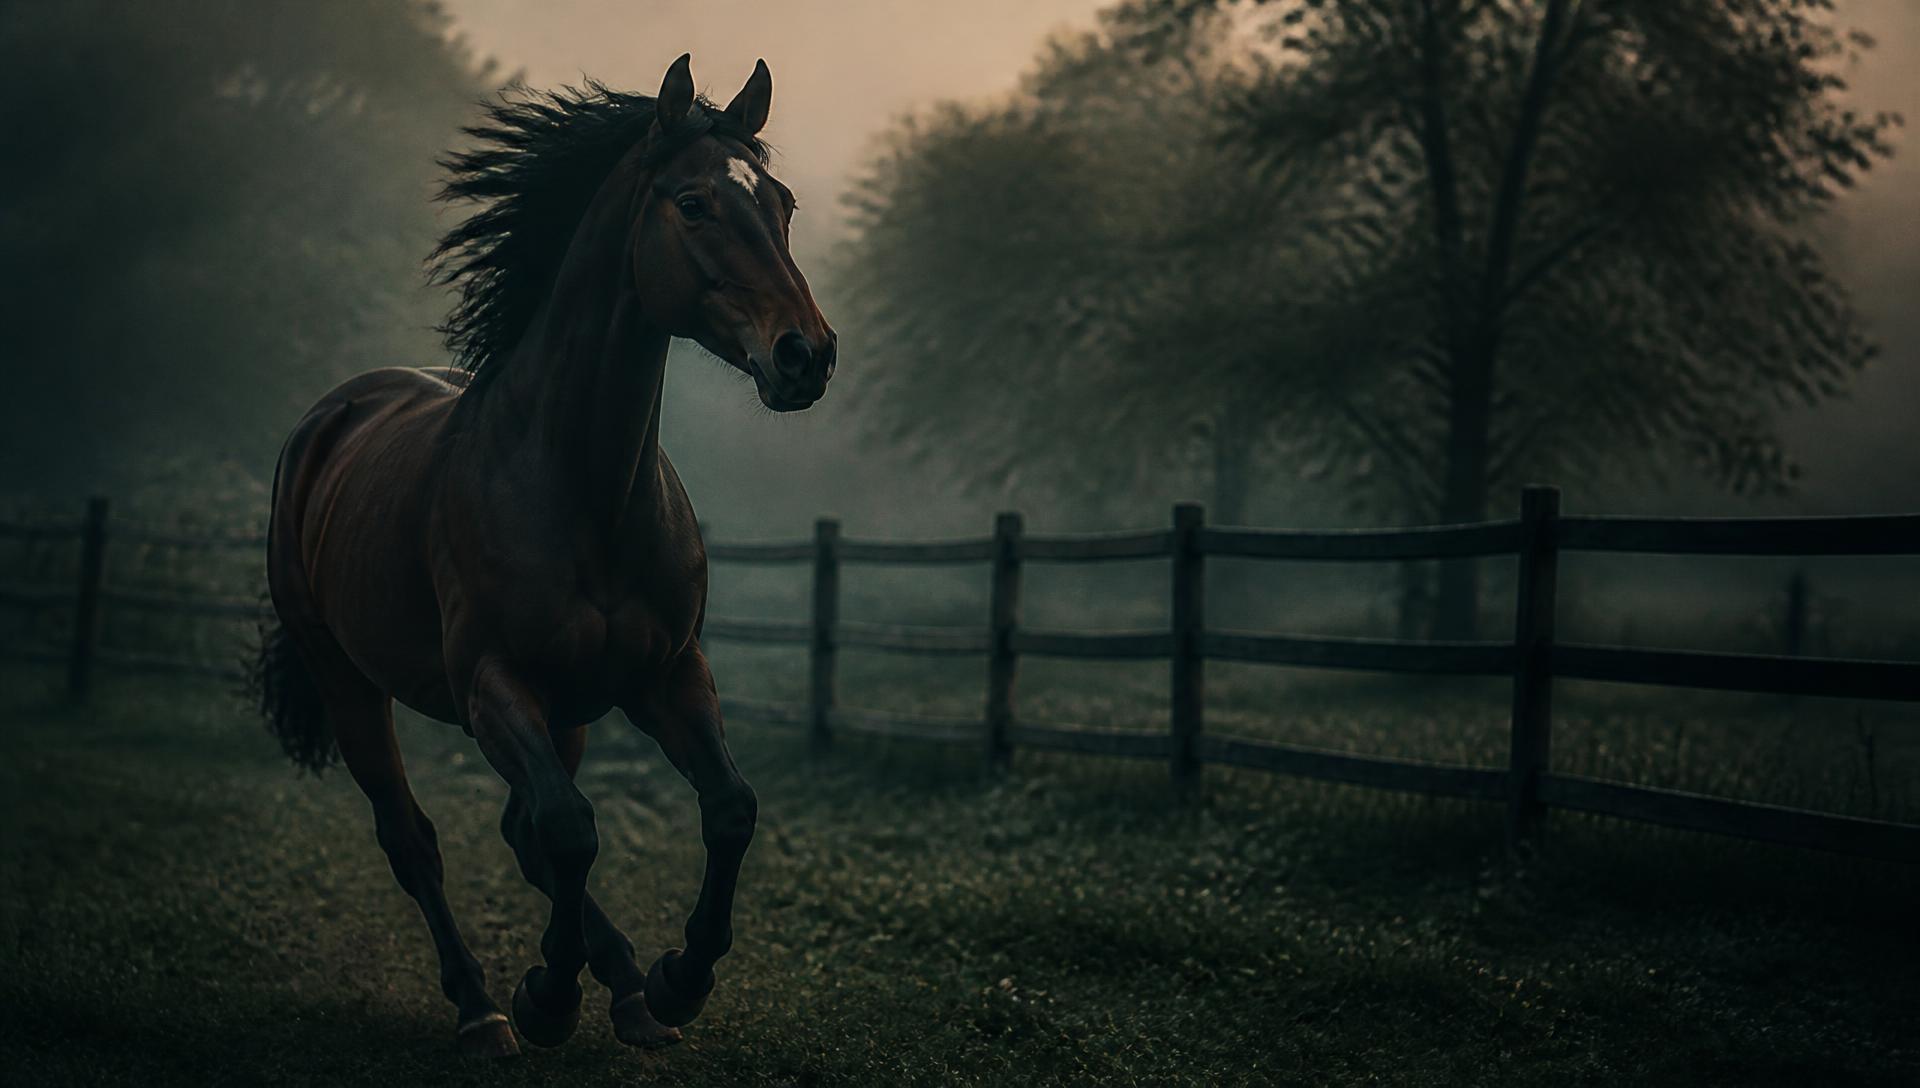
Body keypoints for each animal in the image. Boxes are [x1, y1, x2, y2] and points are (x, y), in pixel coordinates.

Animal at [253, 54, 834, 1058]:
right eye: (693, 204)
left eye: (784, 203)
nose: (807, 355)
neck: (580, 490)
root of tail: (329, 420)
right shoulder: (494, 683)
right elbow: (568, 828)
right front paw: (551, 999)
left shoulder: (666, 674)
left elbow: (727, 808)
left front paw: (676, 981)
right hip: (350, 682)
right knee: (416, 839)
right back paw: (485, 1008)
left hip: (566, 714)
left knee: (521, 832)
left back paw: (628, 991)